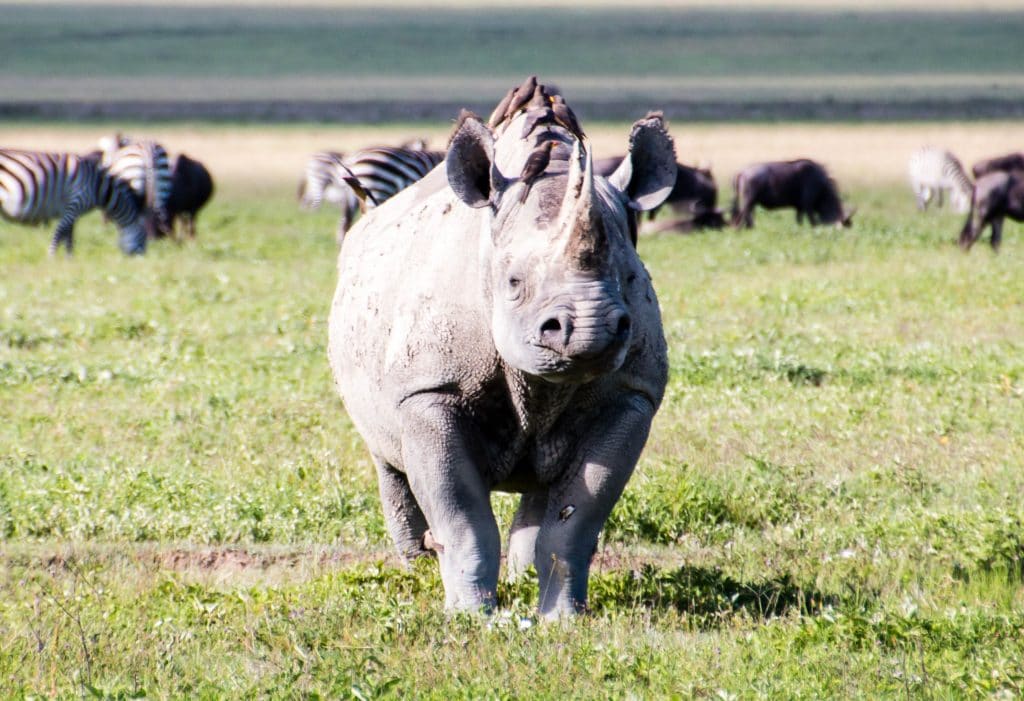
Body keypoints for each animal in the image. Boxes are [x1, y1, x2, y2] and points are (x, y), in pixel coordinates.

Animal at [0, 147, 148, 253]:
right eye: (144, 238)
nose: (142, 258)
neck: (97, 187)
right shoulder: (75, 203)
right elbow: (60, 234)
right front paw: (52, 259)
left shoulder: (71, 212)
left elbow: (68, 238)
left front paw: (68, 261)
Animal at [329, 85, 679, 614]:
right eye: (512, 283)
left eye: (632, 278)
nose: (590, 331)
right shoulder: (430, 391)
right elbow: (463, 518)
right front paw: (471, 616)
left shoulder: (631, 395)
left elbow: (576, 518)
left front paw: (562, 618)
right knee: (385, 456)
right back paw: (414, 571)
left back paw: (520, 578)